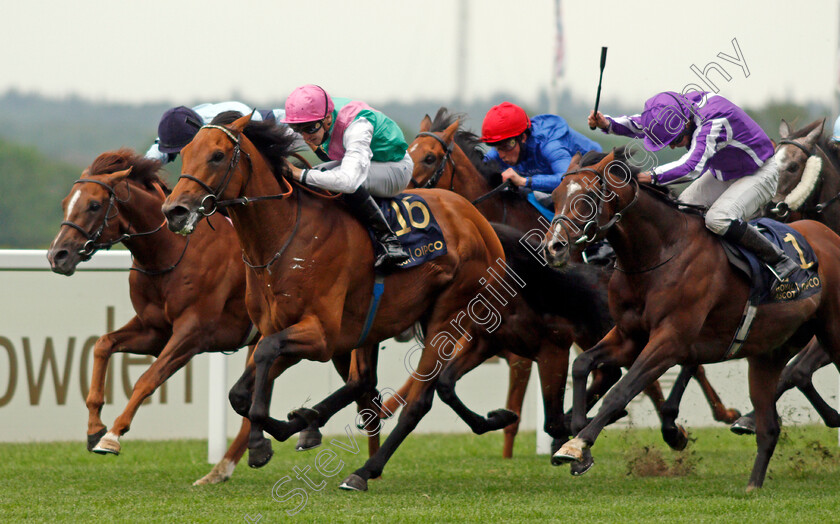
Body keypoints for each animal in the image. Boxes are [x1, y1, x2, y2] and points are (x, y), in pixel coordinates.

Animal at [46, 149, 374, 486]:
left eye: (94, 204)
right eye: (66, 202)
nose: (57, 255)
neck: (170, 251)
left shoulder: (193, 333)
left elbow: (147, 379)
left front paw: (112, 435)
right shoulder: (154, 331)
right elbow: (103, 345)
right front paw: (93, 429)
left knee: (363, 390)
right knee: (364, 391)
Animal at [162, 113, 508, 492]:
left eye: (217, 156)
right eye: (186, 153)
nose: (174, 211)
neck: (283, 238)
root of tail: (476, 219)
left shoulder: (320, 335)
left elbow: (266, 356)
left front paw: (258, 444)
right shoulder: (284, 329)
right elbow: (241, 392)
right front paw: (288, 426)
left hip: (449, 314)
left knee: (417, 401)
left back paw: (364, 471)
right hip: (377, 323)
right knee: (366, 384)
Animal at [548, 148, 840, 492]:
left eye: (589, 197)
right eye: (554, 195)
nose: (554, 247)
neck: (657, 255)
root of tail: (829, 235)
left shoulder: (670, 340)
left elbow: (621, 390)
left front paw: (578, 443)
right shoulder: (628, 336)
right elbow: (583, 365)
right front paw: (577, 444)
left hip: (831, 333)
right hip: (772, 349)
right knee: (775, 412)